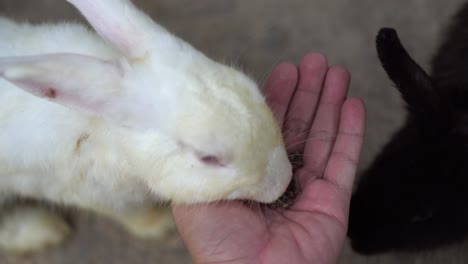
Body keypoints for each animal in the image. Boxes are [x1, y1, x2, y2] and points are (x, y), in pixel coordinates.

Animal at [0, 0, 292, 253]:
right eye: (208, 158)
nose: (284, 181)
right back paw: (44, 231)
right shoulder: (92, 194)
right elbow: (135, 216)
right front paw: (162, 224)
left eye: (250, 86)